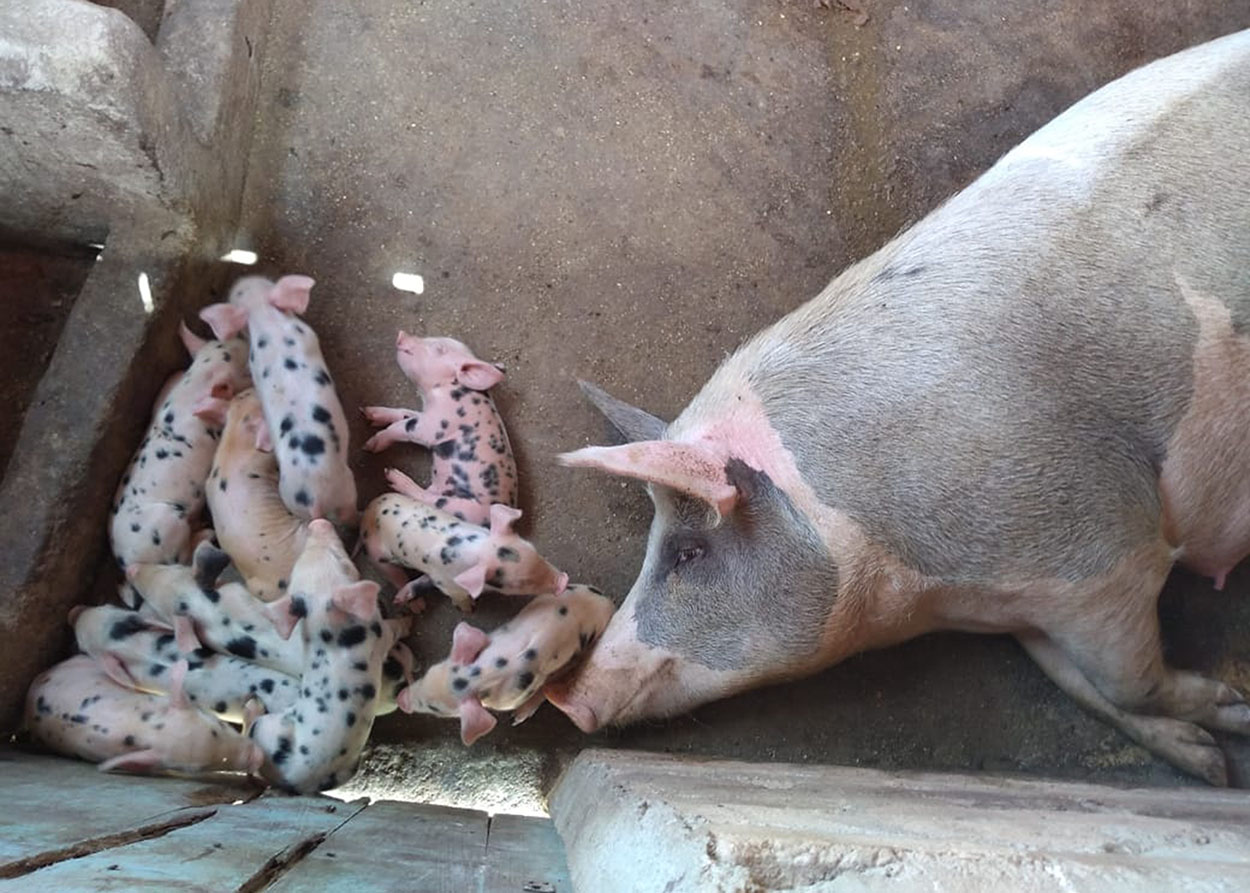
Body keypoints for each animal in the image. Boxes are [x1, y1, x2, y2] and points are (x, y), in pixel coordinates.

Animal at [552, 29, 1250, 780]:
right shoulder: (1033, 603)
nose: (569, 699)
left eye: (687, 552)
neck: (925, 593)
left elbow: (1126, 679)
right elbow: (1080, 682)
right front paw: (1208, 758)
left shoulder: (1105, 545)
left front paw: (1232, 716)